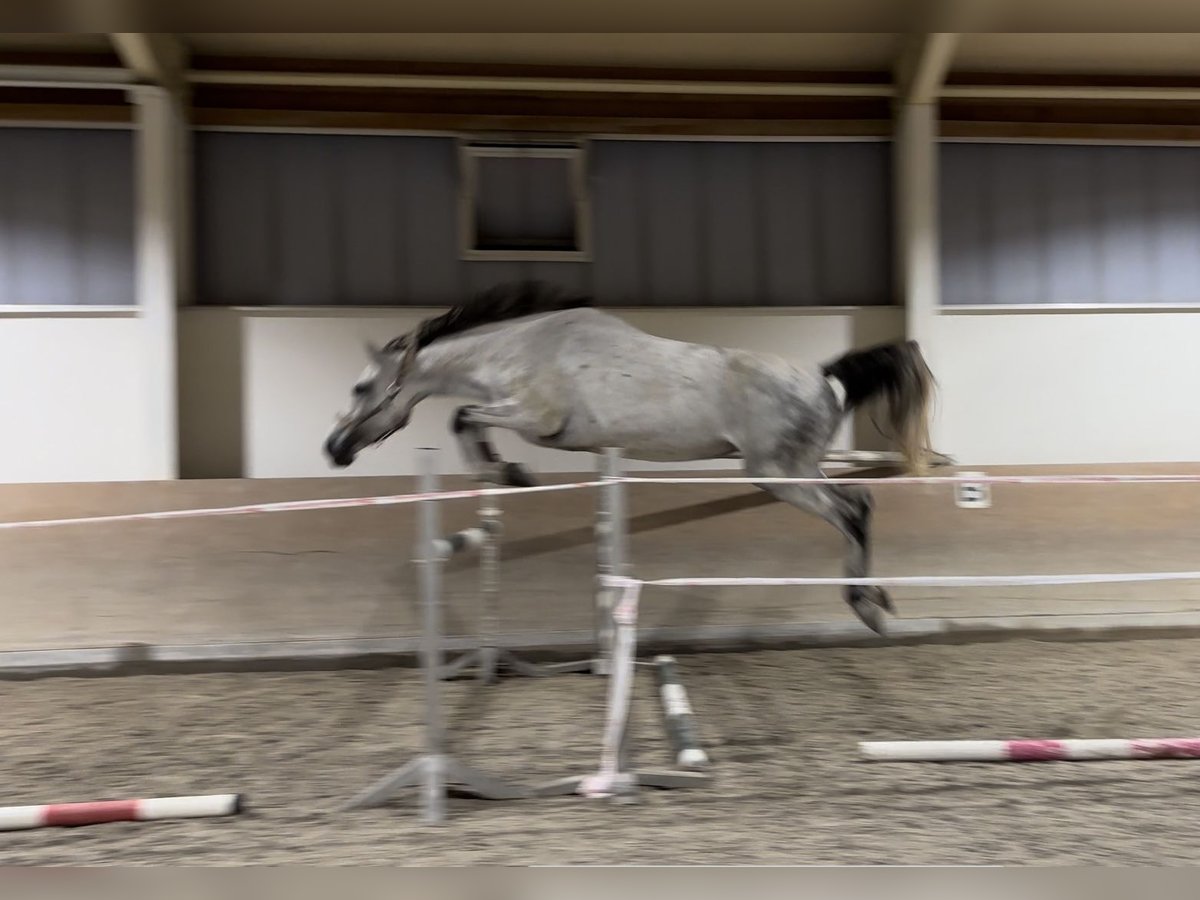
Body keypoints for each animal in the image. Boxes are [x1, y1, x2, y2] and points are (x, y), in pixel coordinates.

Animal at [328, 282, 936, 633]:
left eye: (360, 387)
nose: (333, 449)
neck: (519, 350)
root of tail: (823, 375)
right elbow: (468, 417)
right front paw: (506, 475)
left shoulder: (538, 421)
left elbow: (464, 416)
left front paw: (507, 472)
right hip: (799, 469)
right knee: (860, 502)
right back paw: (876, 599)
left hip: (778, 475)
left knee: (852, 511)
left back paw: (865, 606)